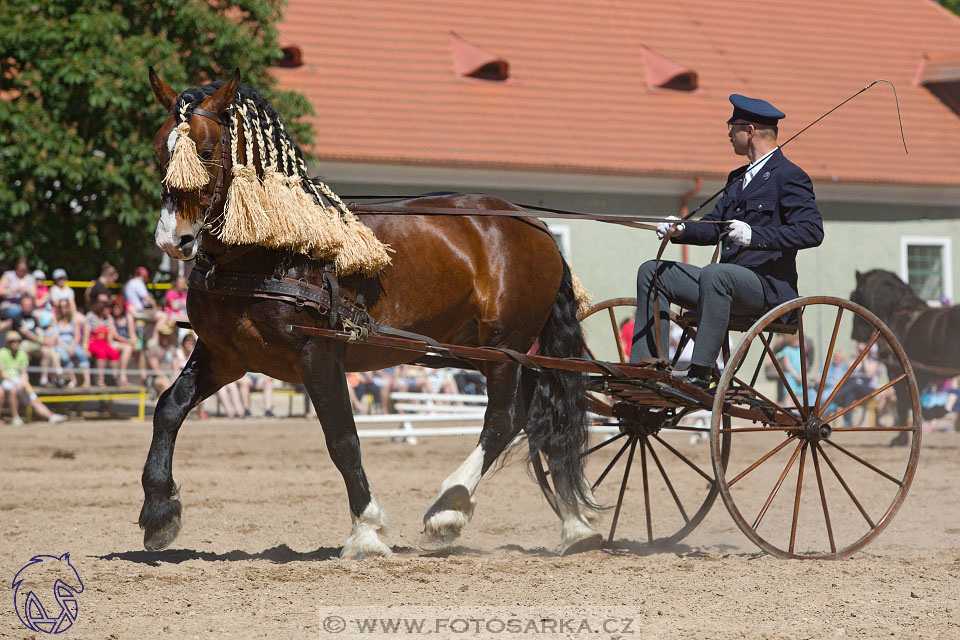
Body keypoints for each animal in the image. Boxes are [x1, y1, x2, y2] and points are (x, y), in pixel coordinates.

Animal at [140, 70, 600, 556]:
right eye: (159, 152)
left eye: (207, 150)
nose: (173, 239)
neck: (267, 252)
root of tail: (536, 226)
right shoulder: (223, 355)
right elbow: (168, 408)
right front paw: (158, 512)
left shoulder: (319, 354)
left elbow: (342, 438)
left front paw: (366, 529)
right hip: (473, 349)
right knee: (538, 415)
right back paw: (575, 524)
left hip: (504, 346)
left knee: (504, 419)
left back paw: (449, 510)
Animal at [852, 268, 956, 442]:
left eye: (854, 296)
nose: (854, 335)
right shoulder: (920, 373)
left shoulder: (896, 371)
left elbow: (903, 402)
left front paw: (901, 438)